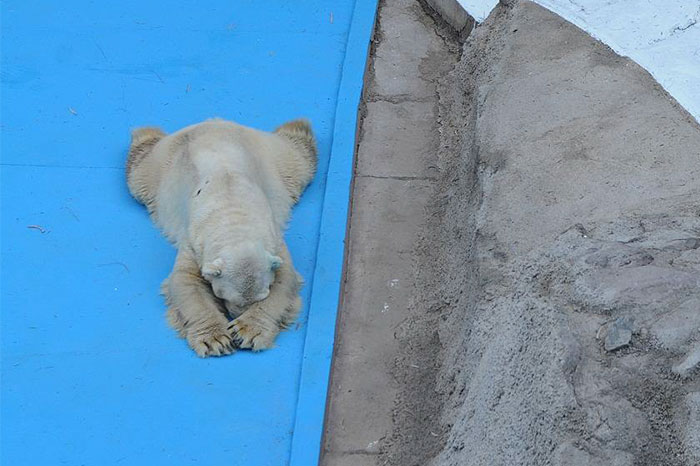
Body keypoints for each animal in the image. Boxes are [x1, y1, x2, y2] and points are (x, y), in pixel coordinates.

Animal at [126, 118, 317, 357]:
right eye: (224, 296)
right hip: (160, 167)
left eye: (261, 296)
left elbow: (285, 279)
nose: (235, 315)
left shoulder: (273, 240)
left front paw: (246, 331)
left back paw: (298, 126)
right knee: (139, 170)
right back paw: (143, 134)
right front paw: (215, 339)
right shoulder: (194, 242)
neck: (233, 217)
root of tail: (213, 122)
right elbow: (186, 281)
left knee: (299, 158)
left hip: (272, 157)